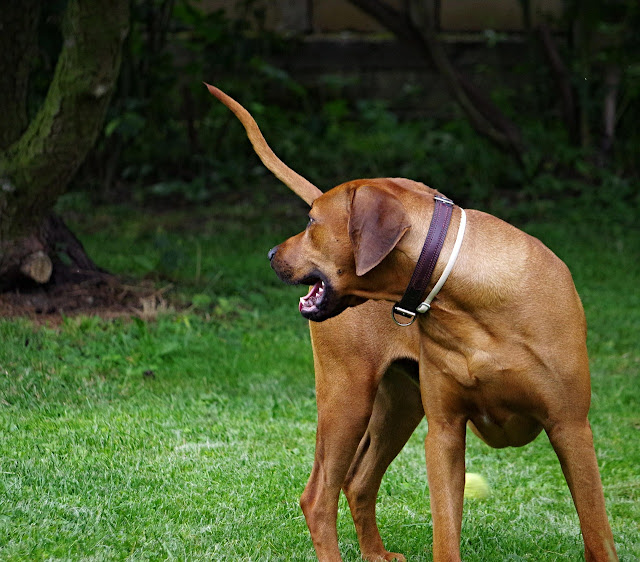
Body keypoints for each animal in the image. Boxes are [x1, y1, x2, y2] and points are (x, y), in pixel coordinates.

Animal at [205, 84, 616, 560]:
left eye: (311, 222)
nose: (271, 254)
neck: (470, 306)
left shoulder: (571, 428)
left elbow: (597, 533)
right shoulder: (444, 434)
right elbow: (446, 536)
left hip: (398, 406)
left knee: (357, 481)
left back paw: (375, 554)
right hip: (348, 397)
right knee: (318, 495)